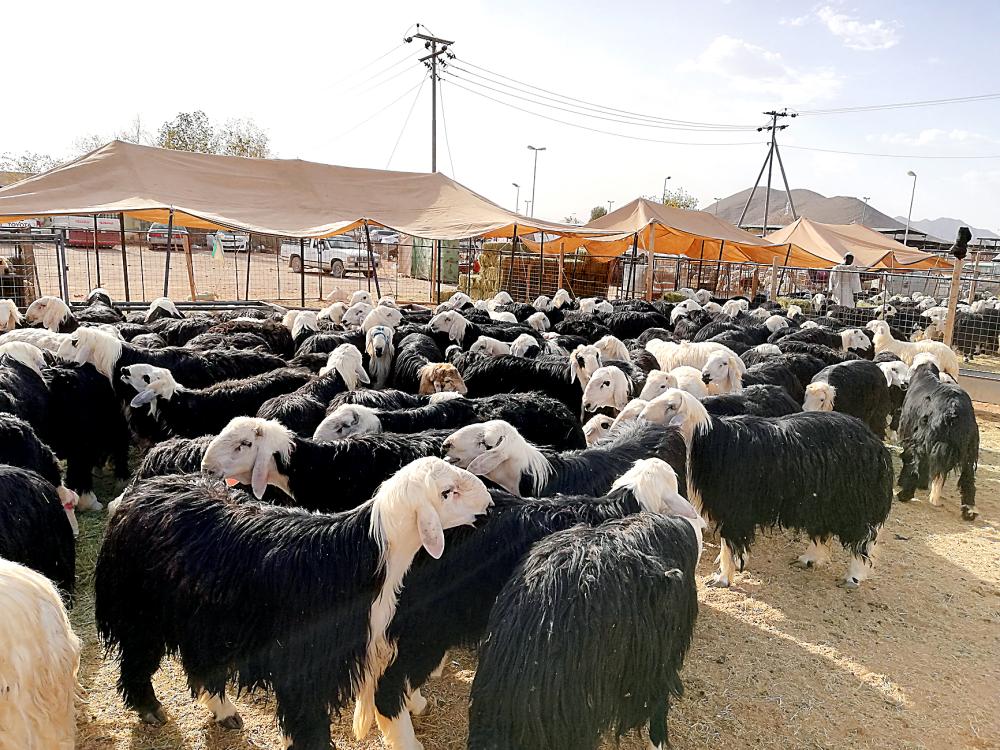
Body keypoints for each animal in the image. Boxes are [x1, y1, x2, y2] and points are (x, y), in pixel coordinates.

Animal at [95, 462, 494, 748]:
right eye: (447, 493)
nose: (490, 504)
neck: (366, 556)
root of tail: (139, 490)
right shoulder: (306, 664)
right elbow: (307, 720)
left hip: (205, 618)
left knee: (202, 663)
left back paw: (223, 710)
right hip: (139, 607)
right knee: (139, 655)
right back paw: (148, 706)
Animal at [640, 390, 892, 592]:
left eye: (671, 406)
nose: (641, 417)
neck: (705, 443)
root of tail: (875, 443)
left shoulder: (734, 508)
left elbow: (729, 543)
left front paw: (723, 578)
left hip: (854, 504)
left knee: (864, 540)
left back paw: (853, 576)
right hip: (823, 501)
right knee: (824, 529)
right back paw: (809, 558)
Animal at [896, 354, 980, 524]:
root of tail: (953, 409)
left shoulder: (908, 432)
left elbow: (908, 459)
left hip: (924, 440)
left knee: (916, 465)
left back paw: (905, 495)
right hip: (969, 450)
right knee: (968, 479)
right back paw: (969, 512)